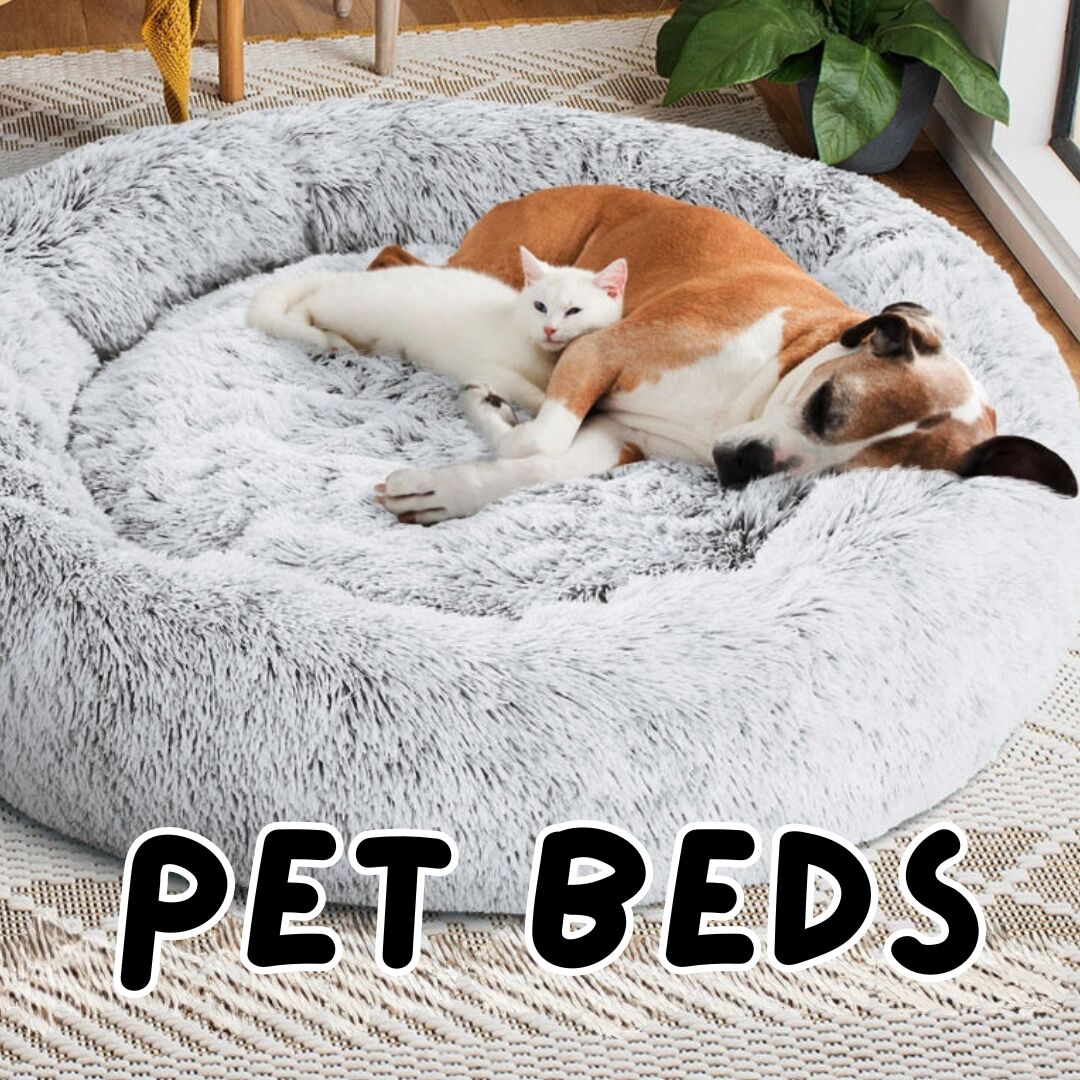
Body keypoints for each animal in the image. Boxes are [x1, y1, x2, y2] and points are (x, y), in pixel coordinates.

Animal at [246, 248, 630, 434]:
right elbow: (526, 388)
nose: (549, 329)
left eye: (573, 311)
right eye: (540, 306)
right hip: (351, 309)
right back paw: (325, 338)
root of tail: (349, 278)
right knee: (305, 308)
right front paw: (543, 401)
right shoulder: (485, 366)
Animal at [369, 185, 1071, 522]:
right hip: (490, 269)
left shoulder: (616, 434)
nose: (744, 467)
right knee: (392, 261)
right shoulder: (601, 352)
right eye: (825, 404)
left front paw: (443, 490)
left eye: (849, 473)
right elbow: (539, 434)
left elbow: (538, 464)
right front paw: (500, 401)